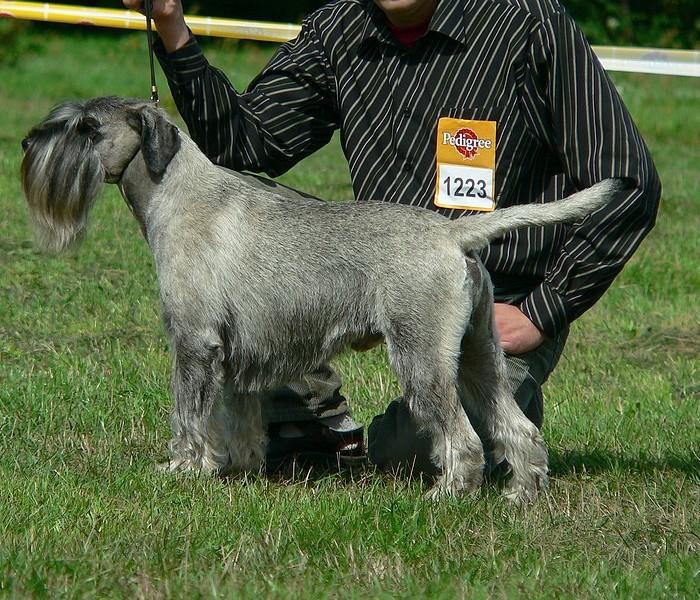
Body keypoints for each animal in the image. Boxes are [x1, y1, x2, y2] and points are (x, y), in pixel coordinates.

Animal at [21, 97, 624, 502]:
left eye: (87, 126)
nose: (27, 144)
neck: (177, 193)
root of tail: (451, 234)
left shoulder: (193, 344)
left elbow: (189, 415)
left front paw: (185, 470)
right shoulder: (236, 356)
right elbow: (240, 419)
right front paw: (240, 470)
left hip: (422, 358)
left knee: (463, 436)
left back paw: (448, 495)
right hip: (480, 356)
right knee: (515, 426)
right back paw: (522, 494)